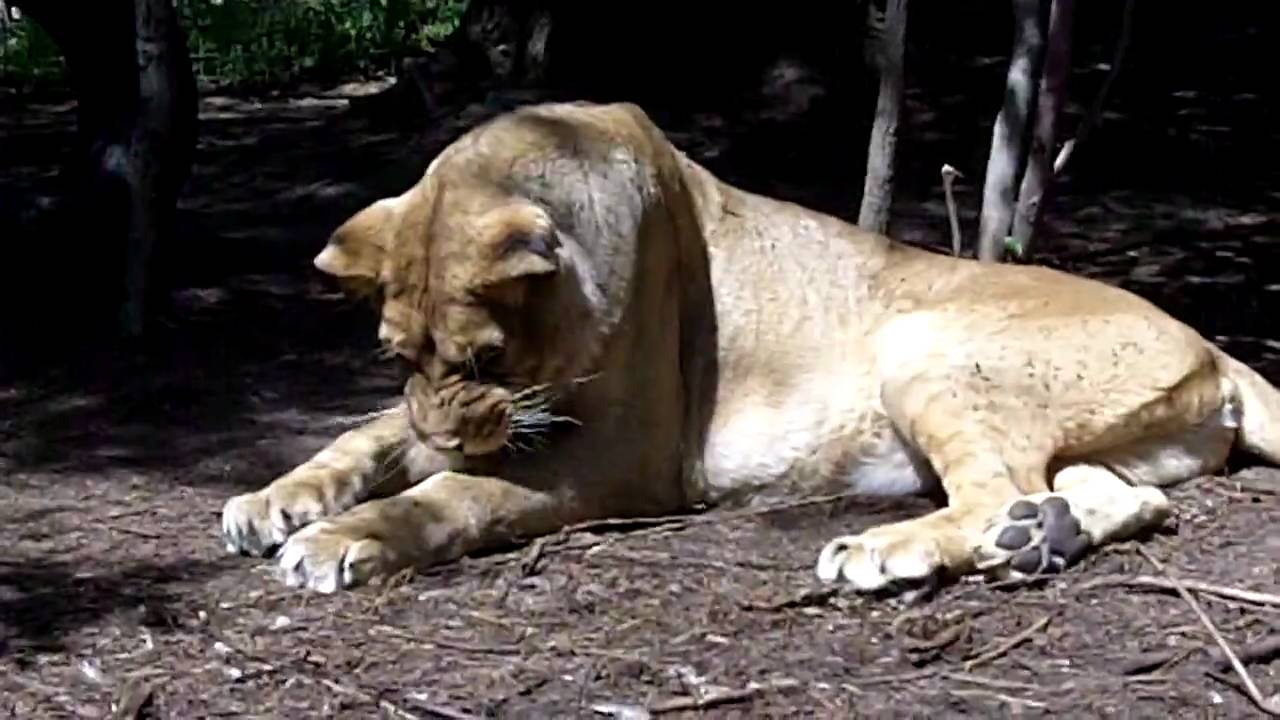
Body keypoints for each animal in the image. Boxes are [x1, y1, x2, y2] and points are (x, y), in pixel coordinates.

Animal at [220, 100, 1280, 595]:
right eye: (398, 355)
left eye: (485, 360)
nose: (443, 427)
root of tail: (1211, 344)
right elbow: (364, 436)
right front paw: (271, 501)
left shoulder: (622, 462)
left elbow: (456, 494)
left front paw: (342, 538)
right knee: (1112, 495)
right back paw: (1038, 539)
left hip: (923, 339)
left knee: (994, 490)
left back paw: (886, 550)